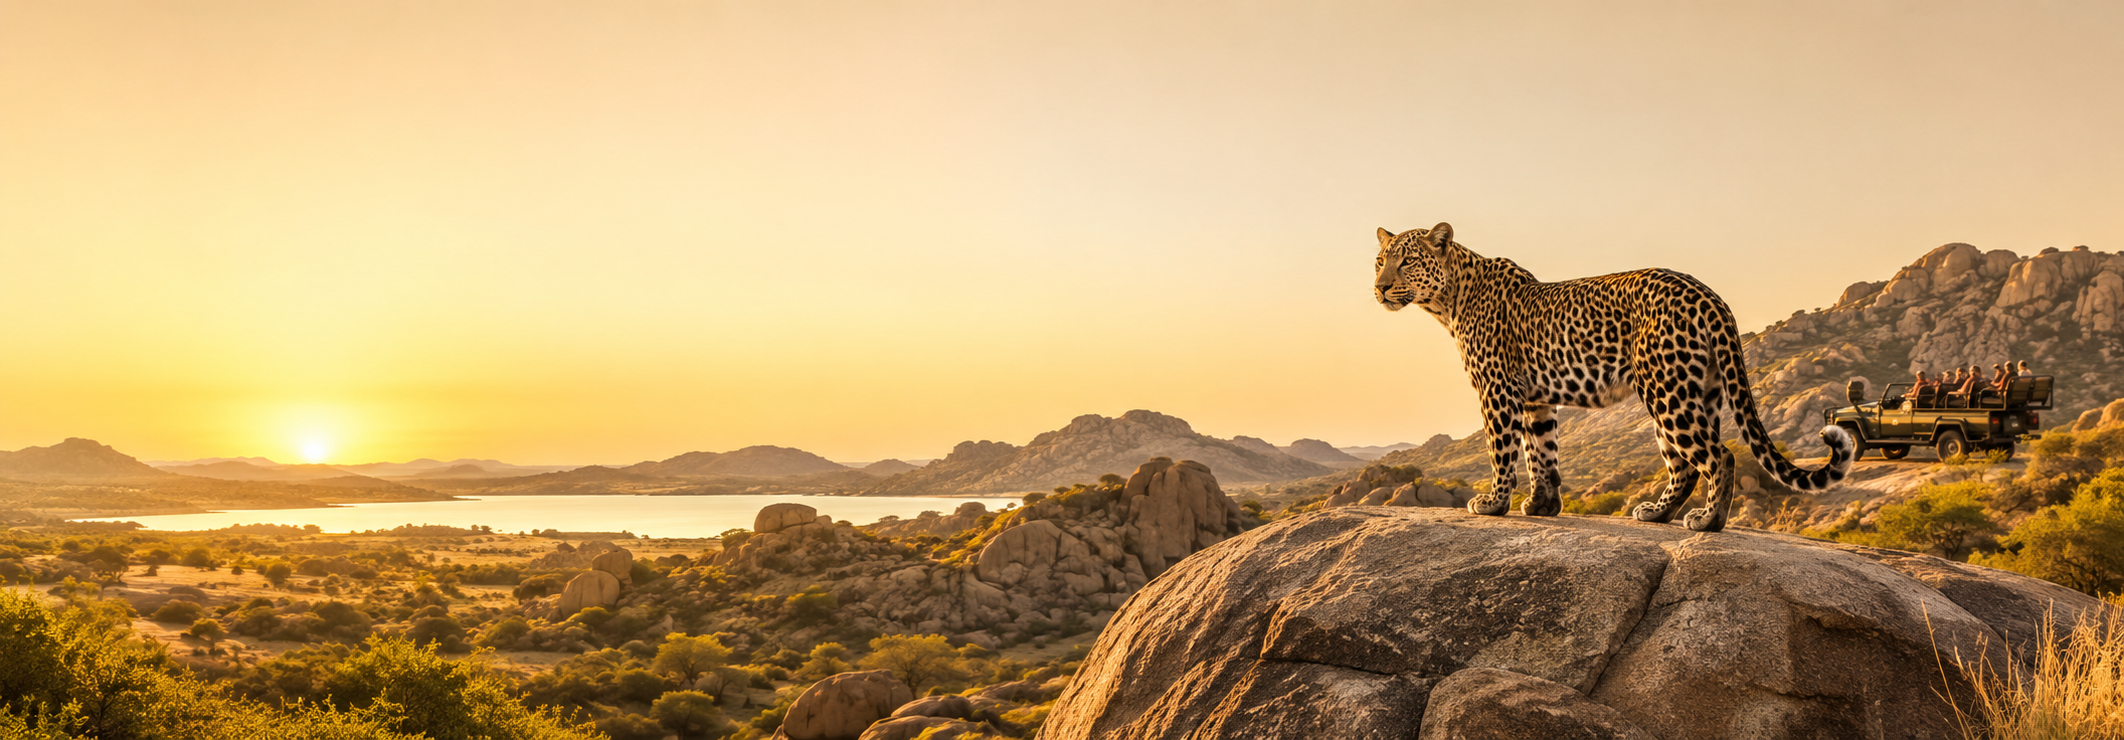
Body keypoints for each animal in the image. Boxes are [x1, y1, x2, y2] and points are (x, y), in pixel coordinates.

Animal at [1372, 222, 1853, 532]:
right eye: (1379, 260)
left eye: (1407, 261)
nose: (1379, 287)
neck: (1449, 299)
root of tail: (1710, 296)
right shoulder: (1536, 399)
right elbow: (1540, 452)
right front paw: (1543, 505)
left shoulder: (1497, 390)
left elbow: (1502, 451)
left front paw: (1493, 504)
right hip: (1698, 390)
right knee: (1687, 465)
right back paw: (1658, 514)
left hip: (1666, 392)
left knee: (1720, 457)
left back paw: (1707, 522)